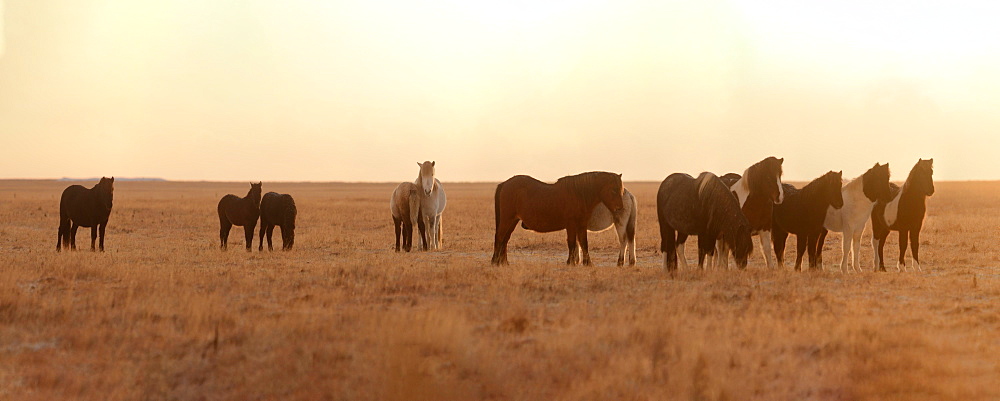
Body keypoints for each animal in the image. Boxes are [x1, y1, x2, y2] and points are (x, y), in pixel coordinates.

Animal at [492, 170, 624, 264]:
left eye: (621, 190)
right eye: (613, 190)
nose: (620, 208)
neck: (579, 194)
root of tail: (505, 184)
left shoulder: (581, 225)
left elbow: (583, 243)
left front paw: (587, 263)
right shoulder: (571, 224)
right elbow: (571, 243)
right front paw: (571, 262)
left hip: (513, 221)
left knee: (505, 239)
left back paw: (504, 263)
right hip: (507, 219)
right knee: (499, 237)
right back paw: (495, 262)